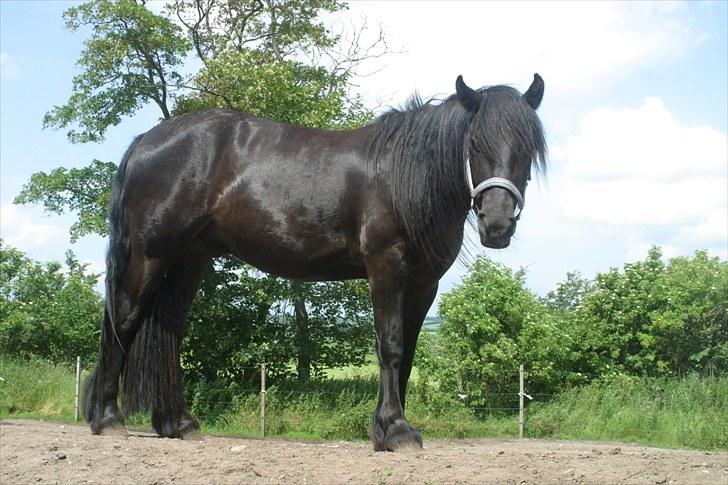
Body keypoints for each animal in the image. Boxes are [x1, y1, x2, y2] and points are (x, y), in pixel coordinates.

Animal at [83, 74, 546, 451]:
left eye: (528, 148)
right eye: (474, 143)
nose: (497, 223)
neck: (403, 176)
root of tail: (146, 140)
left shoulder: (423, 283)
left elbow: (410, 354)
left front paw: (387, 429)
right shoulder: (386, 265)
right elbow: (391, 346)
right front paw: (396, 431)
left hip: (189, 260)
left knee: (170, 333)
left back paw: (178, 423)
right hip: (152, 254)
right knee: (123, 318)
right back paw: (108, 418)